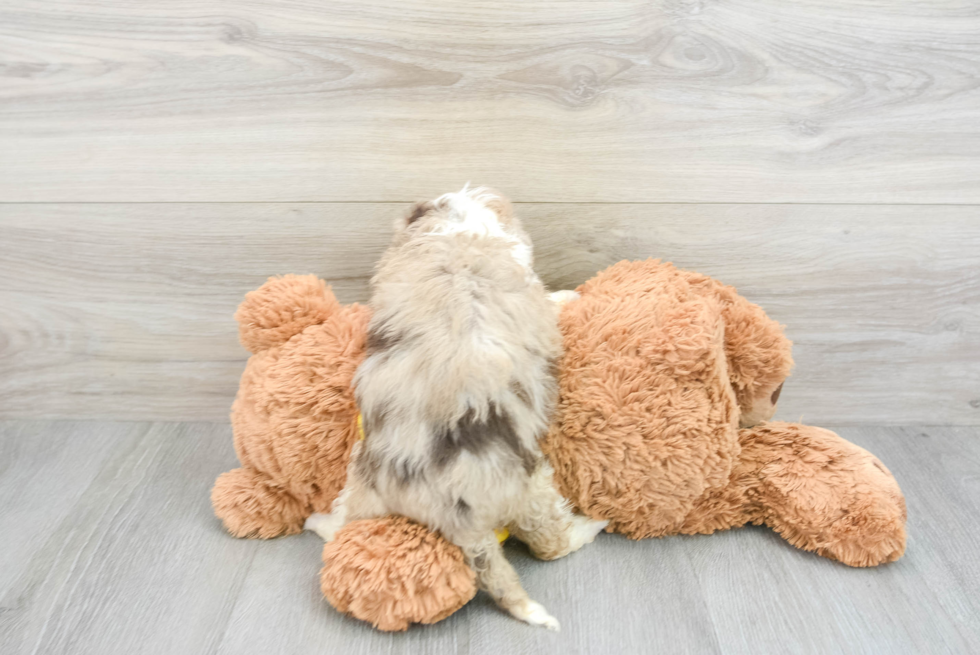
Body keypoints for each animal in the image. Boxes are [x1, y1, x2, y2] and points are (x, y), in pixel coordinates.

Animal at [308, 184, 604, 632]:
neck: (456, 232)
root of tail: (454, 517)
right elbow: (552, 302)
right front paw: (571, 294)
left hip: (361, 483)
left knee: (342, 521)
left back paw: (319, 522)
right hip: (532, 488)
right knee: (550, 543)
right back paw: (591, 526)